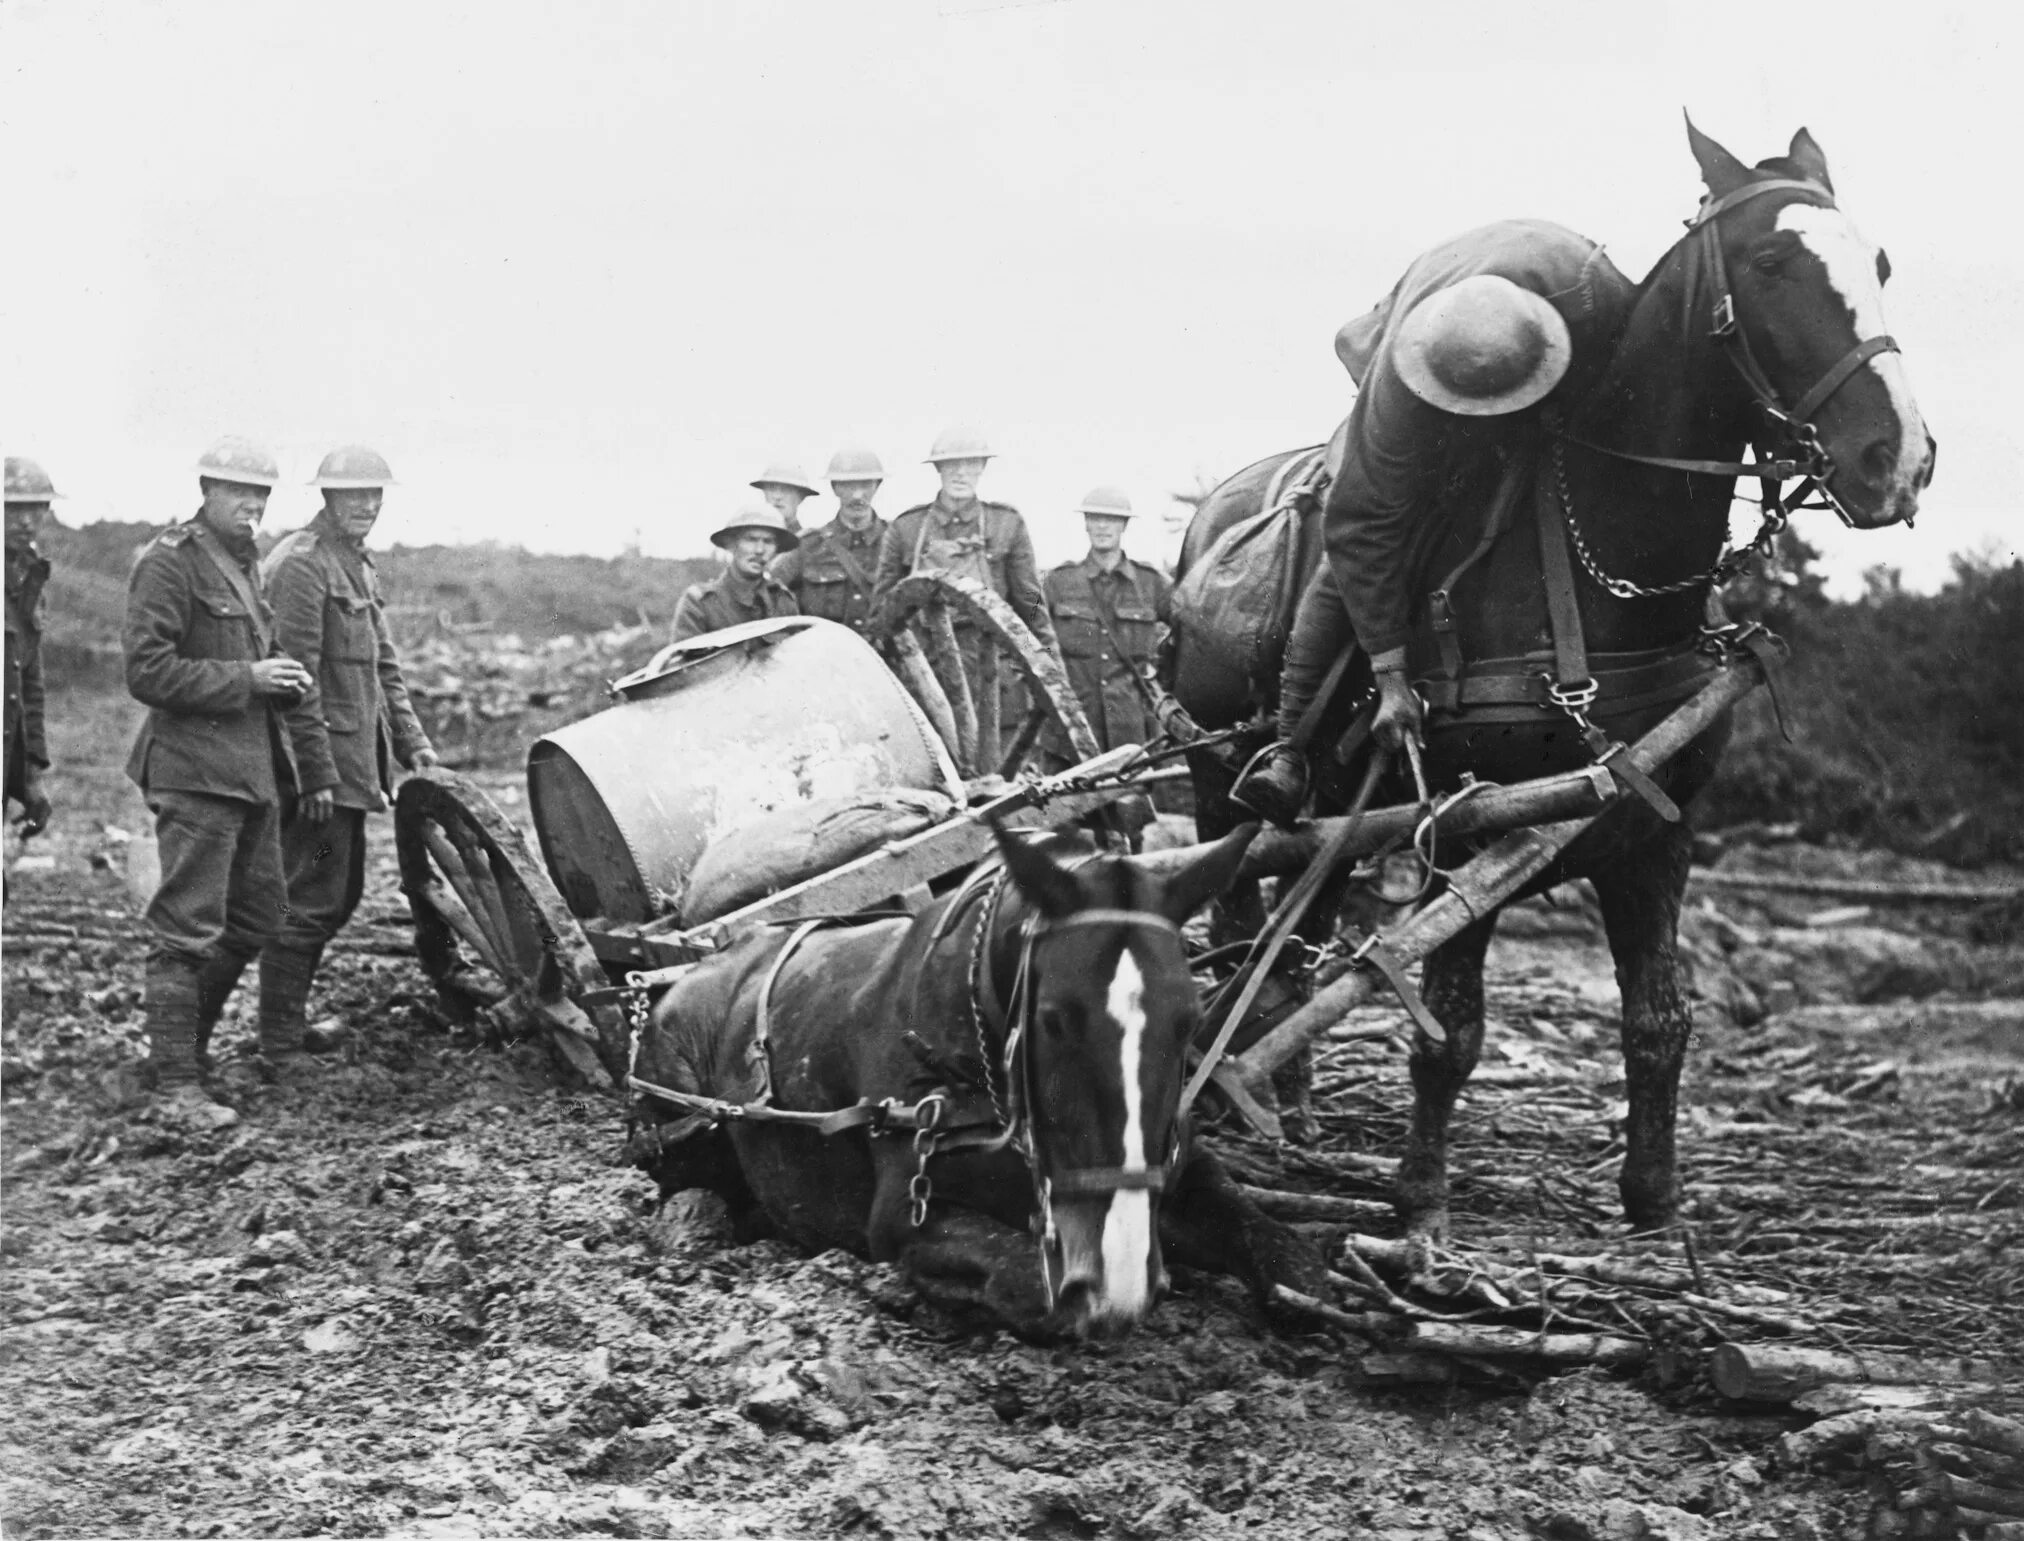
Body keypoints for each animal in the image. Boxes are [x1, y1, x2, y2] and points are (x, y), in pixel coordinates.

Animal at [627, 822, 1327, 1344]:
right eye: (1053, 1019)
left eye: (1192, 1018)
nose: (1122, 1275)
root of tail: (686, 976)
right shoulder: (902, 1218)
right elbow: (1032, 1283)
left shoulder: (1176, 1168)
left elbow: (1275, 1242)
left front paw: (1321, 1297)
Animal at [1165, 117, 1934, 1239]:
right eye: (1768, 264)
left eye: (1876, 263)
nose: (1898, 460)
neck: (1593, 565)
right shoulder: (1466, 830)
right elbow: (1450, 1028)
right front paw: (1419, 1201)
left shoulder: (1657, 831)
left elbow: (1659, 1018)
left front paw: (1653, 1203)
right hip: (1214, 784)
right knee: (1235, 920)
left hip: (1339, 822)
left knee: (1293, 936)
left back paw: (1287, 1102)